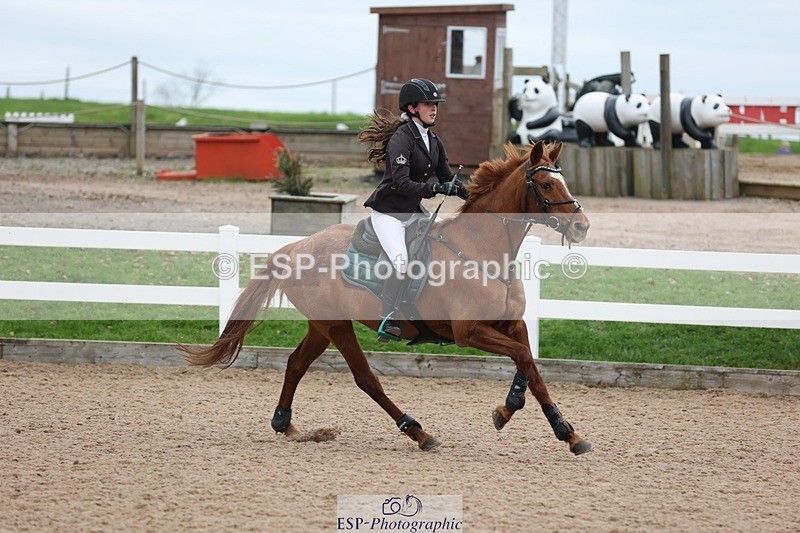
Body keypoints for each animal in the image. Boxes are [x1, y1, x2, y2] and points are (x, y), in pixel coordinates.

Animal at [179, 140, 595, 455]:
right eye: (546, 185)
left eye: (563, 181)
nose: (582, 225)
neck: (481, 250)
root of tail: (297, 246)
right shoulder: (469, 332)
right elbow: (523, 358)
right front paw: (517, 413)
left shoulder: (513, 323)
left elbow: (530, 366)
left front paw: (562, 430)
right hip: (335, 325)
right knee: (366, 379)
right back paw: (417, 431)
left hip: (322, 325)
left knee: (296, 364)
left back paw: (285, 424)